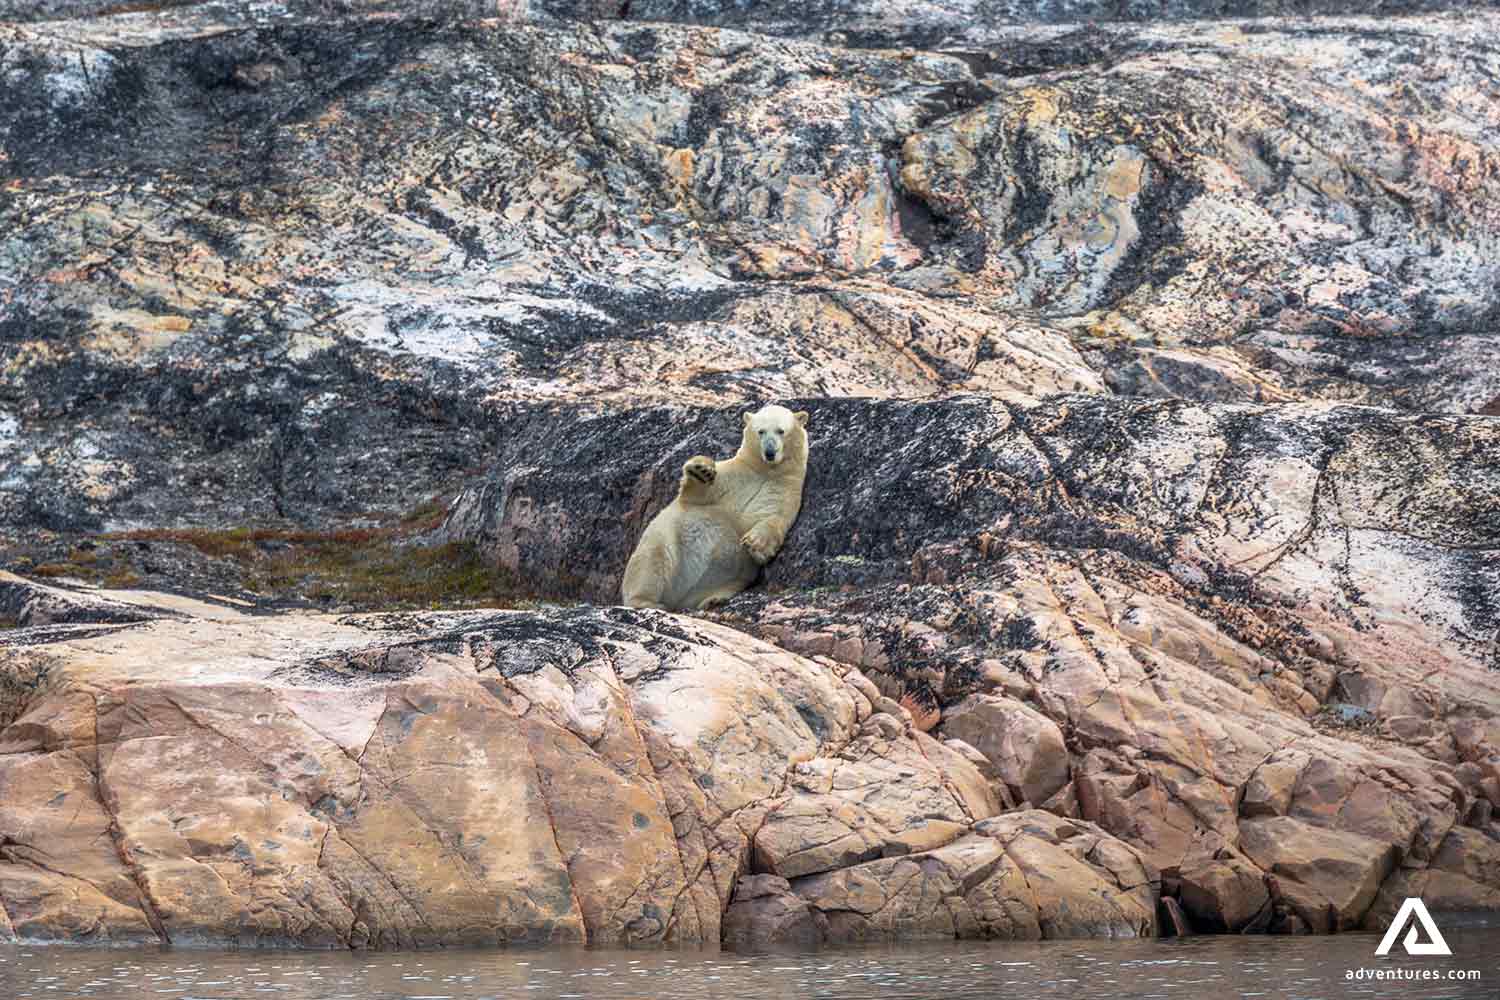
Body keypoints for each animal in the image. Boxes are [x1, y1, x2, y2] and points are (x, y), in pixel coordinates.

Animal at [620, 404, 810, 611]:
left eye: (781, 431)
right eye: (760, 431)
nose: (769, 452)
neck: (765, 470)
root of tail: (676, 598)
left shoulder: (784, 487)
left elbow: (775, 517)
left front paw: (756, 543)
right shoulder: (735, 475)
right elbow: (699, 494)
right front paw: (701, 470)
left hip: (725, 577)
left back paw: (713, 600)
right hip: (665, 538)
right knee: (652, 560)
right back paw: (646, 601)